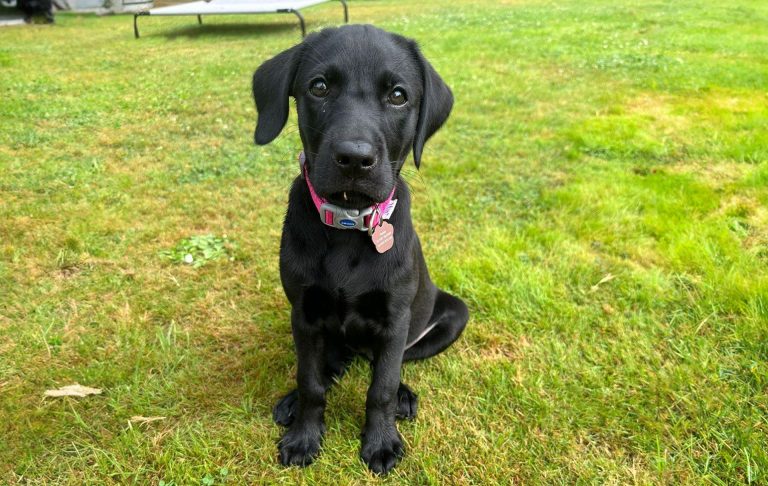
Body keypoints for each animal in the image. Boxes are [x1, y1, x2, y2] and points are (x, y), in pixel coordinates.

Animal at [254, 23, 468, 474]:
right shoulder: (304, 314)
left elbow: (381, 387)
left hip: (454, 314)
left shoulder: (395, 319)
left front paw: (381, 442)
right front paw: (303, 435)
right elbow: (311, 380)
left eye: (398, 95)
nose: (354, 158)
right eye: (319, 87)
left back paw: (404, 395)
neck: (349, 225)